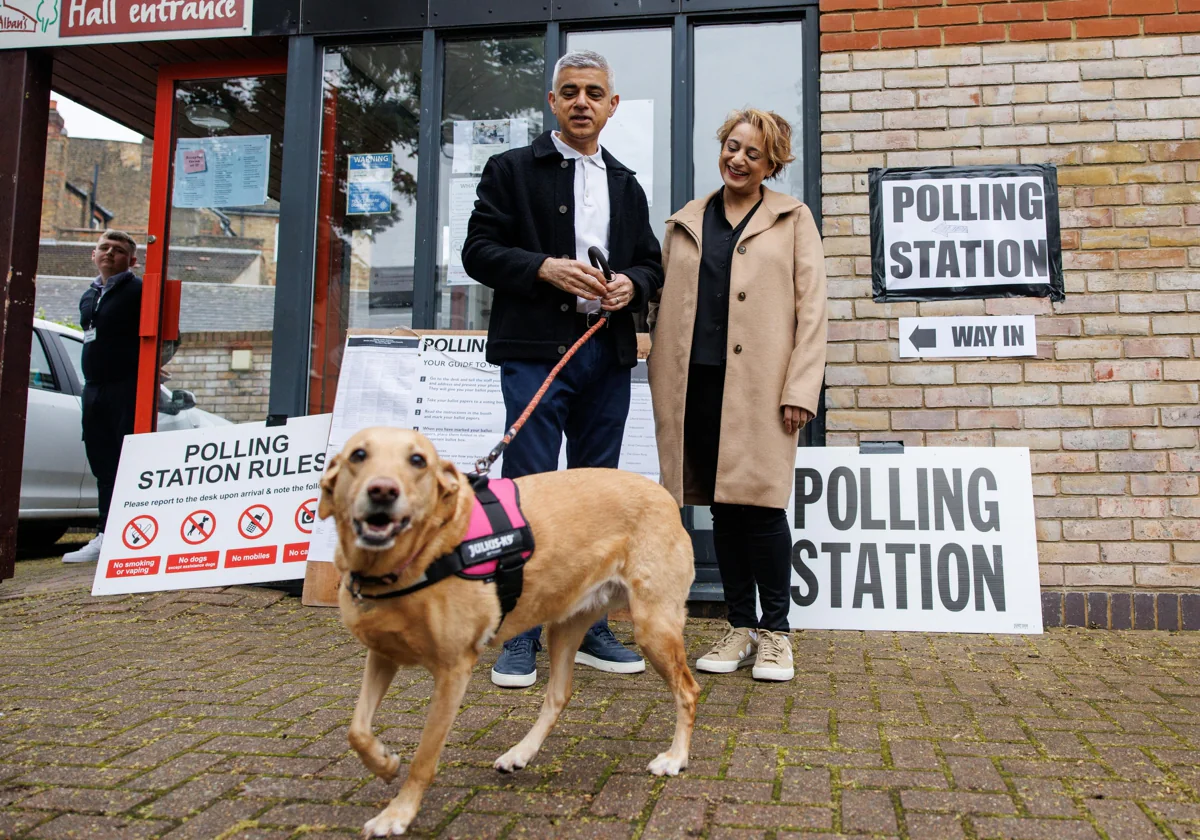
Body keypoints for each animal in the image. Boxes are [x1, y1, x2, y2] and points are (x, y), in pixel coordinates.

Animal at [321, 429, 700, 835]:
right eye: (358, 455)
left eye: (418, 460)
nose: (382, 491)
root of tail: (664, 495)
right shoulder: (382, 654)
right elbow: (357, 730)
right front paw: (385, 763)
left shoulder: (453, 671)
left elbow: (424, 757)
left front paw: (398, 814)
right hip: (564, 625)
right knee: (558, 695)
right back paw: (521, 753)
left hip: (652, 627)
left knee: (688, 690)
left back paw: (676, 757)